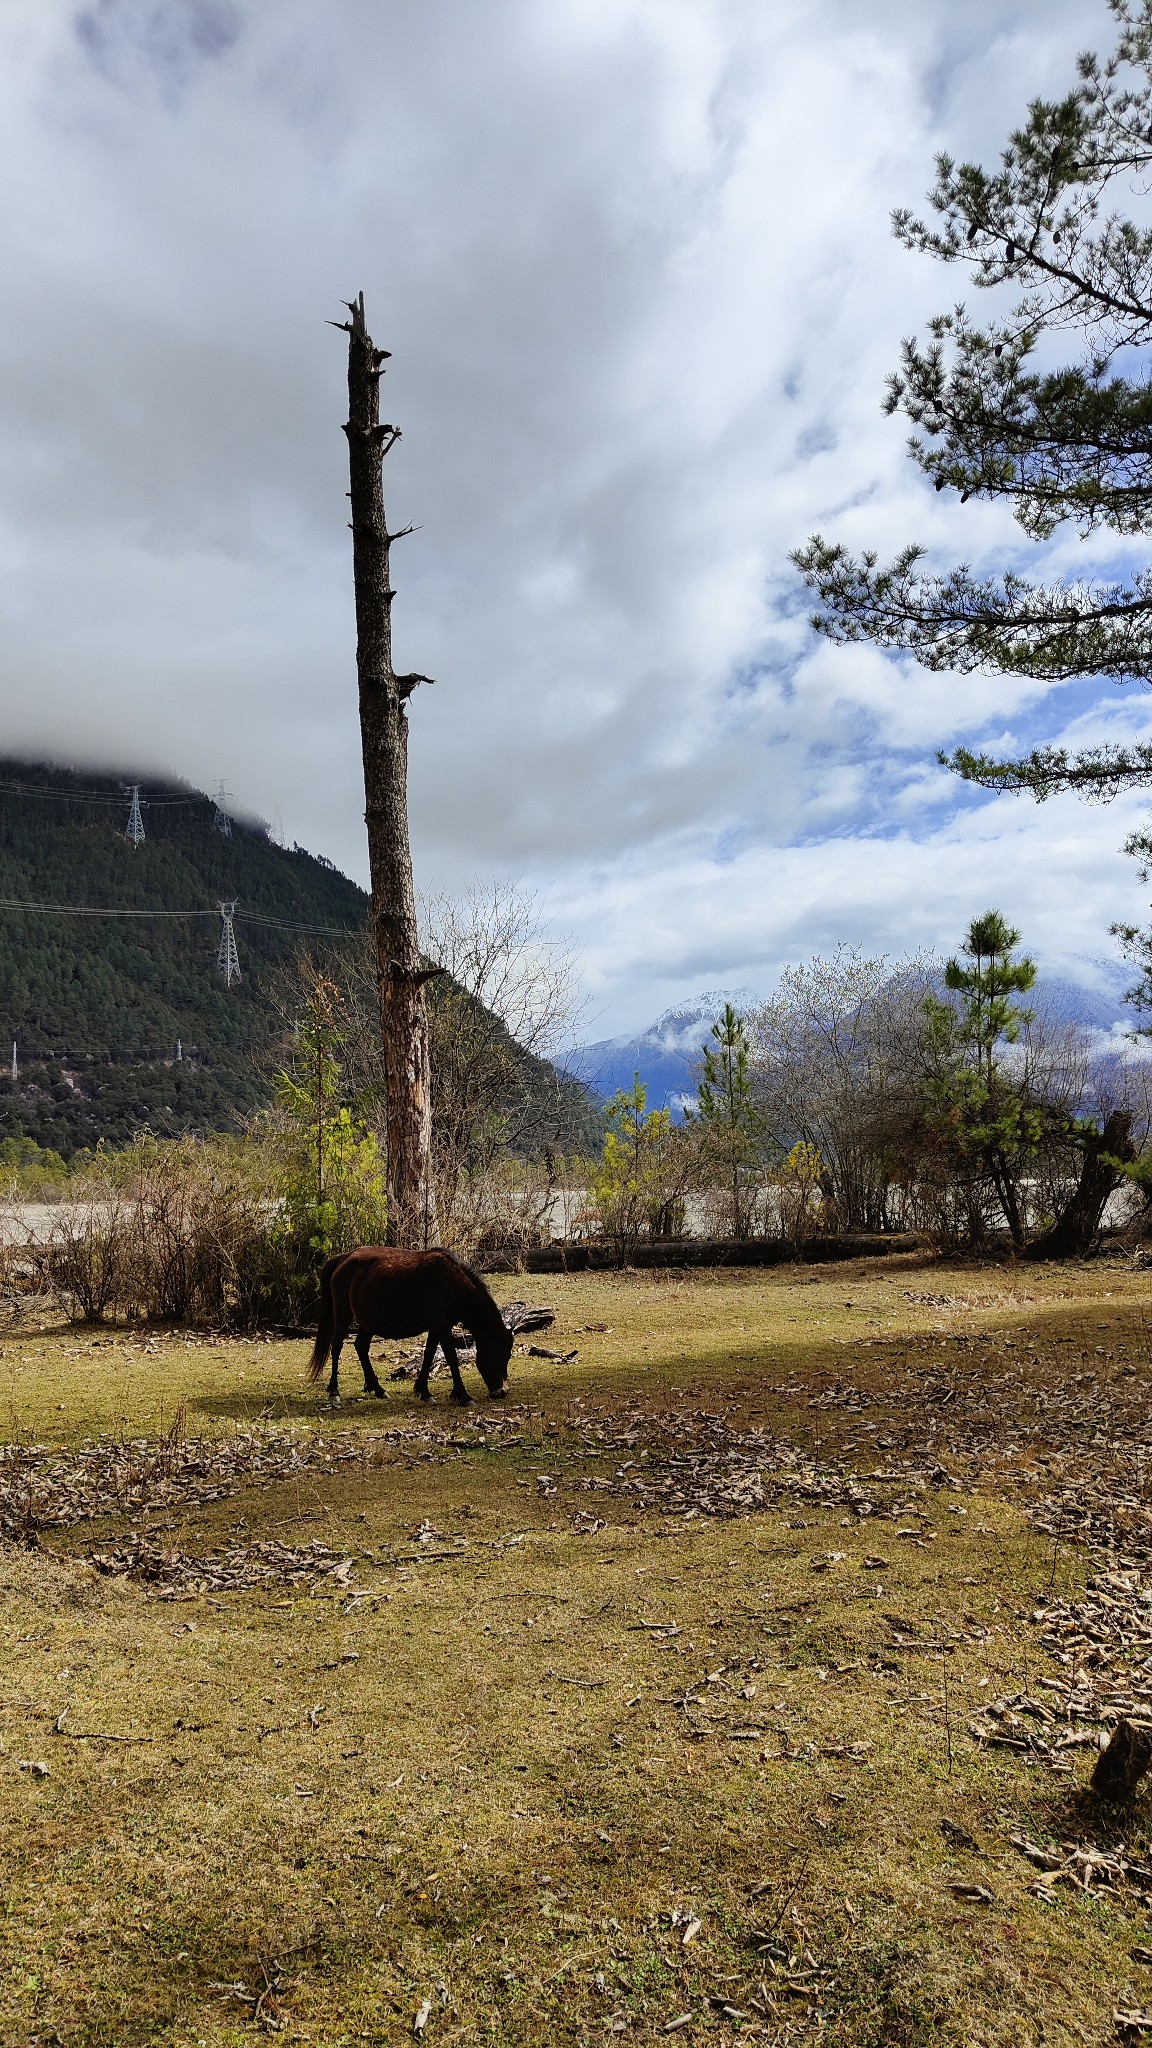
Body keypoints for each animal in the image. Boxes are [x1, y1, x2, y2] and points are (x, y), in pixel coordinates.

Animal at [311, 1245, 512, 1409]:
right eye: (499, 1355)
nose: (502, 1392)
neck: (452, 1283)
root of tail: (343, 1258)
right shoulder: (442, 1326)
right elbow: (451, 1358)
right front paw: (463, 1396)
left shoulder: (437, 1327)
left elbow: (429, 1355)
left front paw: (424, 1391)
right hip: (343, 1314)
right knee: (337, 1347)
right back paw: (334, 1391)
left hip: (367, 1322)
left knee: (361, 1347)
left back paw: (377, 1389)